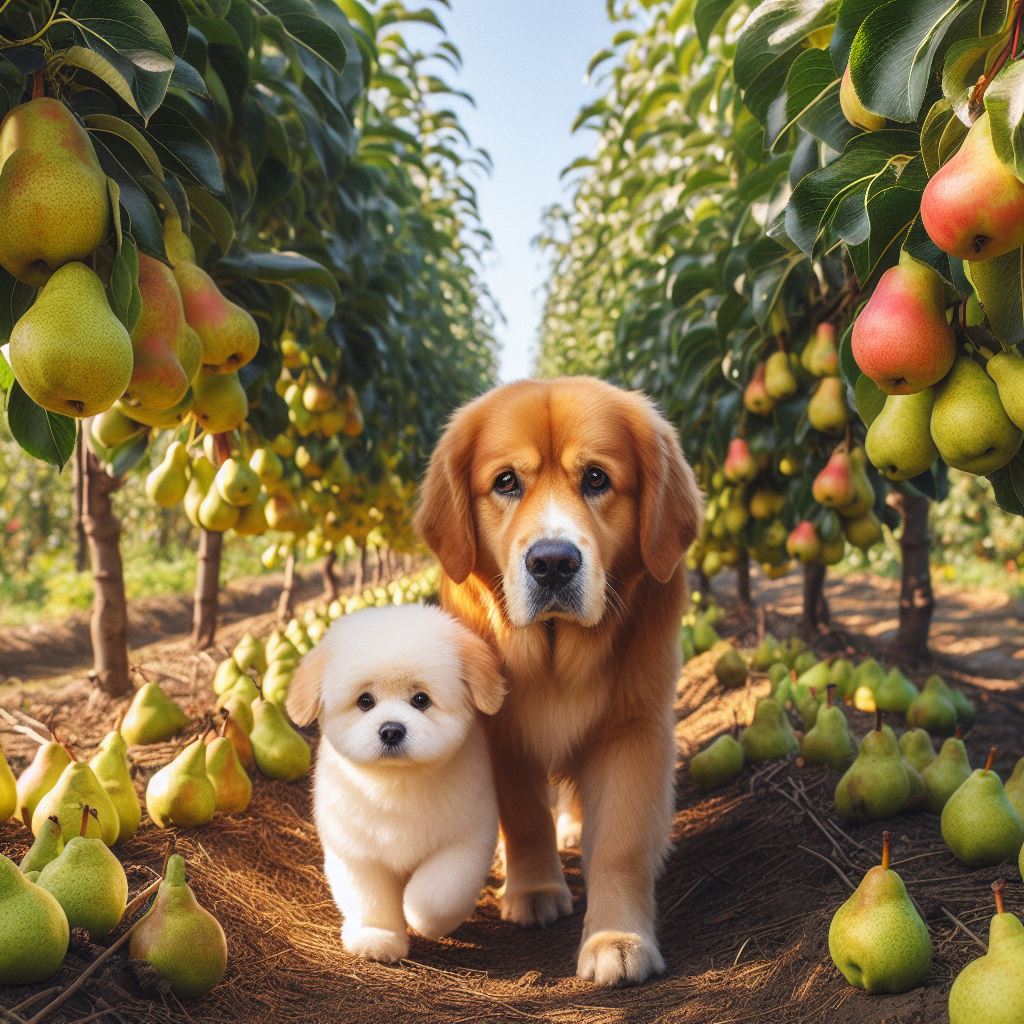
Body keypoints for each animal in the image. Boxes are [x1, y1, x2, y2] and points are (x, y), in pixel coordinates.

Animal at [286, 602, 505, 962]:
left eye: (421, 699)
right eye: (365, 701)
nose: (391, 730)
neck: (396, 785)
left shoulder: (466, 841)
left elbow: (437, 895)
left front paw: (419, 917)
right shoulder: (356, 853)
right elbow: (369, 900)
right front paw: (378, 937)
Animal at [411, 374, 700, 983]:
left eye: (596, 479)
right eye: (506, 482)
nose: (552, 562)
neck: (554, 655)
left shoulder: (633, 729)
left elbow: (620, 843)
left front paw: (617, 938)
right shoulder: (501, 734)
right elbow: (523, 818)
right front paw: (535, 889)